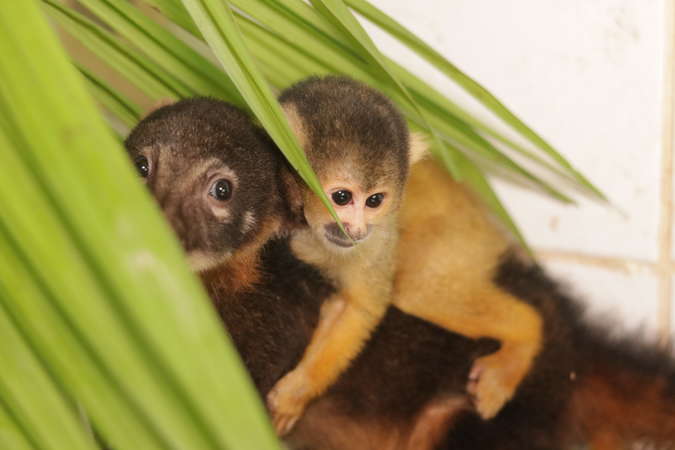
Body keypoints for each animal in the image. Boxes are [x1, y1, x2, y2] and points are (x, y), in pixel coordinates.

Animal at [270, 76, 544, 432]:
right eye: (342, 197)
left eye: (374, 201)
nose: (356, 230)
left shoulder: (379, 239)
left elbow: (360, 308)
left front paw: (296, 395)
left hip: (461, 241)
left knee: (417, 289)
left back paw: (524, 336)